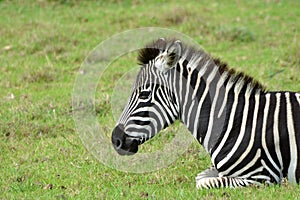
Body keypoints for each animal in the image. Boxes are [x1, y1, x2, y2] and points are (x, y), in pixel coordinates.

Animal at [110, 38, 300, 189]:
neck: (234, 121)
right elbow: (201, 177)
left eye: (144, 94)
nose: (115, 140)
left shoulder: (261, 176)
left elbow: (204, 182)